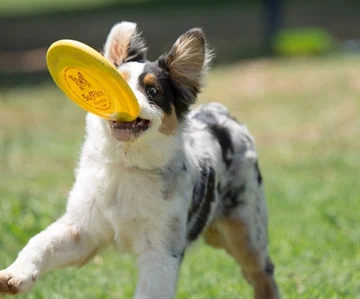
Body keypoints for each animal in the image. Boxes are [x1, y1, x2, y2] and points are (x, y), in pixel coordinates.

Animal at [0, 21, 280, 299]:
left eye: (153, 90)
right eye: (117, 82)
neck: (128, 165)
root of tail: (223, 114)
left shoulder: (161, 248)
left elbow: (150, 289)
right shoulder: (82, 229)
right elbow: (40, 242)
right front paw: (14, 276)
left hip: (246, 231)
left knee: (262, 273)